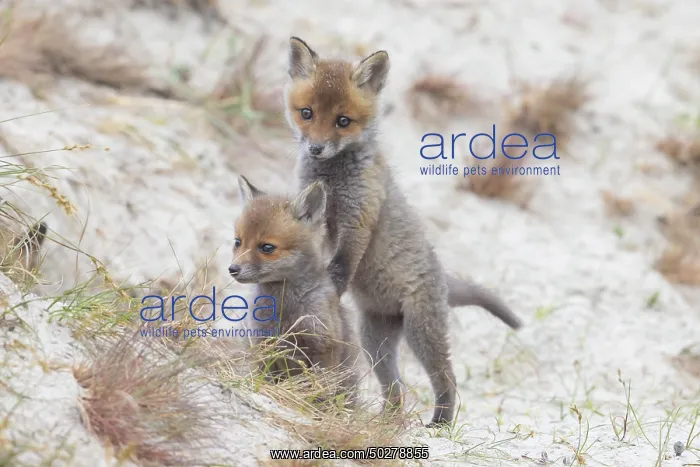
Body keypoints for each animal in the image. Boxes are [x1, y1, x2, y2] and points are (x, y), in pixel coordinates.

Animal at [228, 175, 362, 403]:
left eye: (267, 247)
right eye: (238, 242)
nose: (233, 269)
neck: (285, 308)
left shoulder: (324, 346)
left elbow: (321, 390)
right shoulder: (263, 345)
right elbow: (264, 377)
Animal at [283, 37, 523, 426]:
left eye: (342, 121)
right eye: (307, 113)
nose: (316, 148)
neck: (332, 179)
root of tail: (442, 279)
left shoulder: (358, 218)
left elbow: (343, 264)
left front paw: (331, 288)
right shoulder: (316, 218)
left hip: (420, 333)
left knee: (447, 378)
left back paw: (440, 424)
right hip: (375, 341)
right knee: (397, 389)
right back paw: (388, 422)